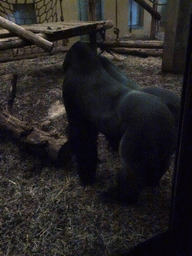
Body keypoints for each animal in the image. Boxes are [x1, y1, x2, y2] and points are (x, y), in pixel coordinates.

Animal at [63, 41, 178, 204]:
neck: (86, 63)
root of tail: (168, 116)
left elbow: (81, 137)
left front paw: (86, 177)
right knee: (160, 164)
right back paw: (152, 181)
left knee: (132, 172)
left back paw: (120, 196)